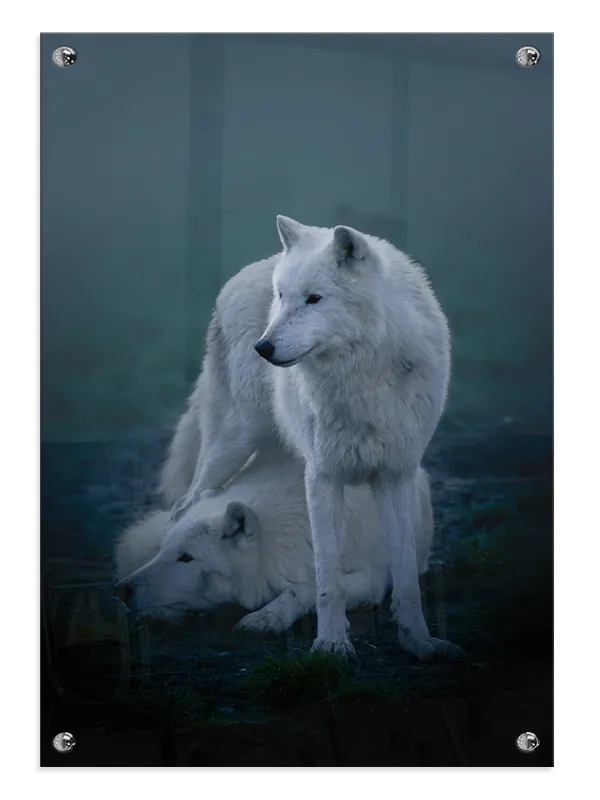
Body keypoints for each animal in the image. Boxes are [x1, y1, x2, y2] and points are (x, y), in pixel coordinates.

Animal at [115, 447, 433, 631]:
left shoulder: (371, 578)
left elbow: (306, 589)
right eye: (163, 551)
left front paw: (267, 617)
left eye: (186, 557)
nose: (121, 590)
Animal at [167, 216, 460, 661]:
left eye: (314, 299)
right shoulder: (322, 476)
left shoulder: (395, 476)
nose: (262, 347)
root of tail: (247, 271)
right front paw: (332, 644)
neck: (361, 380)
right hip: (231, 445)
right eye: (282, 297)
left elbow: (406, 576)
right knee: (185, 507)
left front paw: (418, 642)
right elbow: (327, 577)